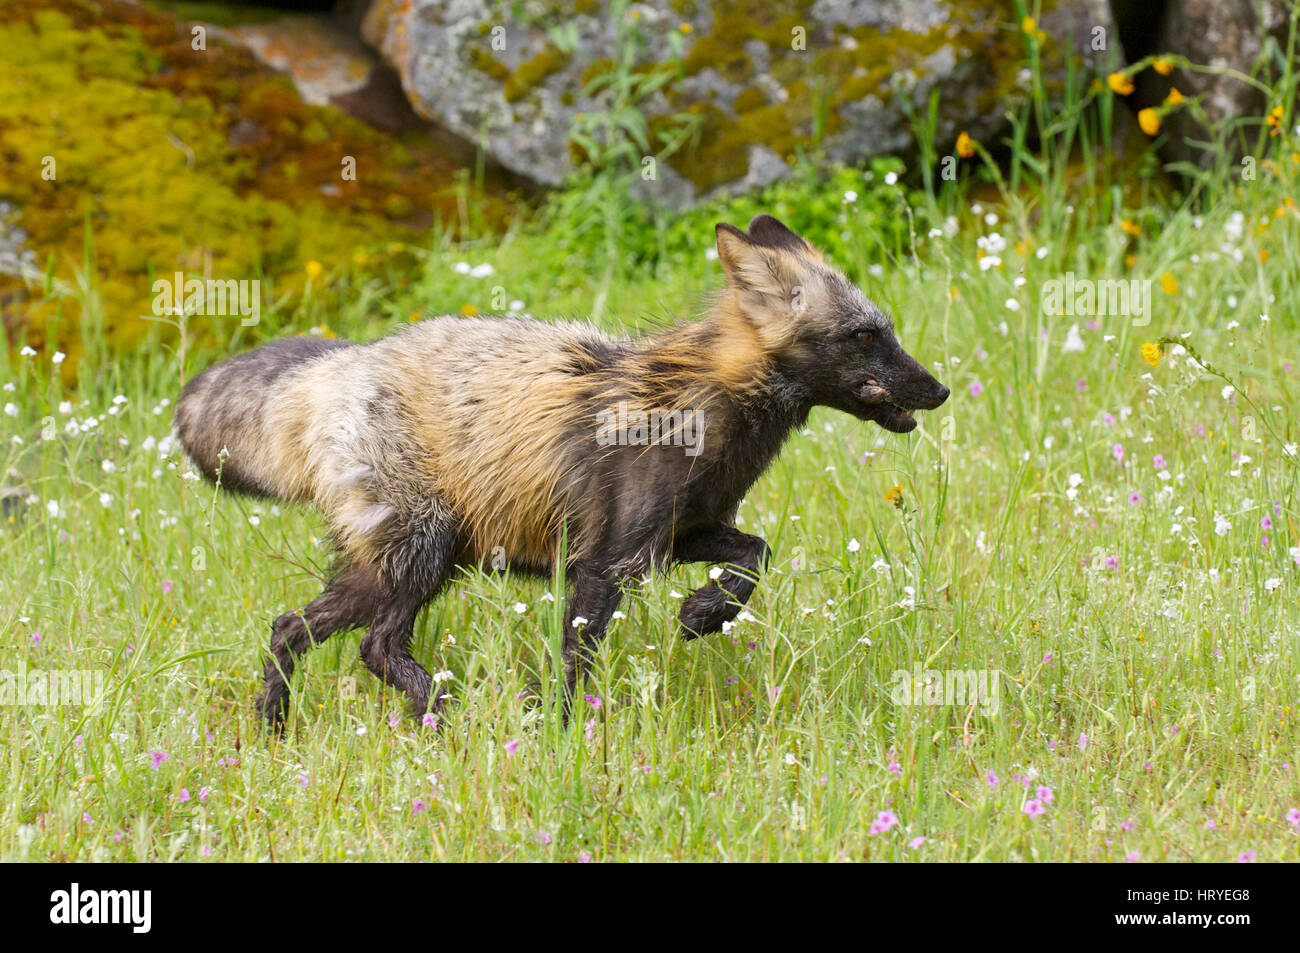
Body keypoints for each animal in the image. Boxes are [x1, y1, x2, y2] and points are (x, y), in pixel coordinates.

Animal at [172, 215, 951, 733]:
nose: (940, 389)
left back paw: (275, 728)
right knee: (373, 644)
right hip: (421, 555)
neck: (698, 407)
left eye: (885, 331)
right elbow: (577, 663)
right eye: (865, 336)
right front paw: (562, 737)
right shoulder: (606, 562)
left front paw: (705, 614)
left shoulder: (684, 532)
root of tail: (340, 364)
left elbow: (756, 555)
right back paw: (439, 712)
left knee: (289, 628)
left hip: (397, 566)